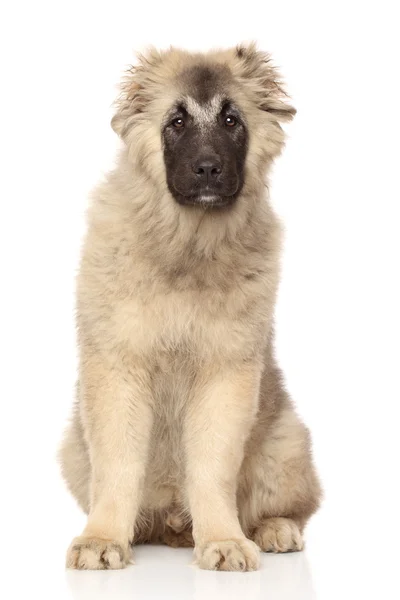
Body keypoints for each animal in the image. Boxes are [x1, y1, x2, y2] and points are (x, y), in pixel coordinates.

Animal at [60, 43, 322, 572]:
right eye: (176, 122)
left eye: (231, 119)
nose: (206, 169)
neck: (188, 245)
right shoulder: (117, 368)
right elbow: (117, 464)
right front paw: (102, 538)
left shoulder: (225, 374)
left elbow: (212, 467)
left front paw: (223, 539)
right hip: (73, 449)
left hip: (287, 442)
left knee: (290, 505)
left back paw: (274, 529)